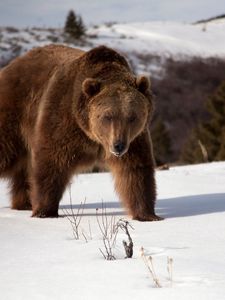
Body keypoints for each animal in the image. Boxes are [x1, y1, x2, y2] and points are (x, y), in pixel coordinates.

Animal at [0, 45, 162, 221]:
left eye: (132, 117)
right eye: (107, 116)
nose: (118, 146)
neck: (92, 136)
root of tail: (12, 64)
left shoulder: (134, 139)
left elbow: (136, 171)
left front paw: (147, 215)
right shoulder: (63, 121)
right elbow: (51, 163)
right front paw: (45, 212)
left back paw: (23, 204)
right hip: (15, 115)